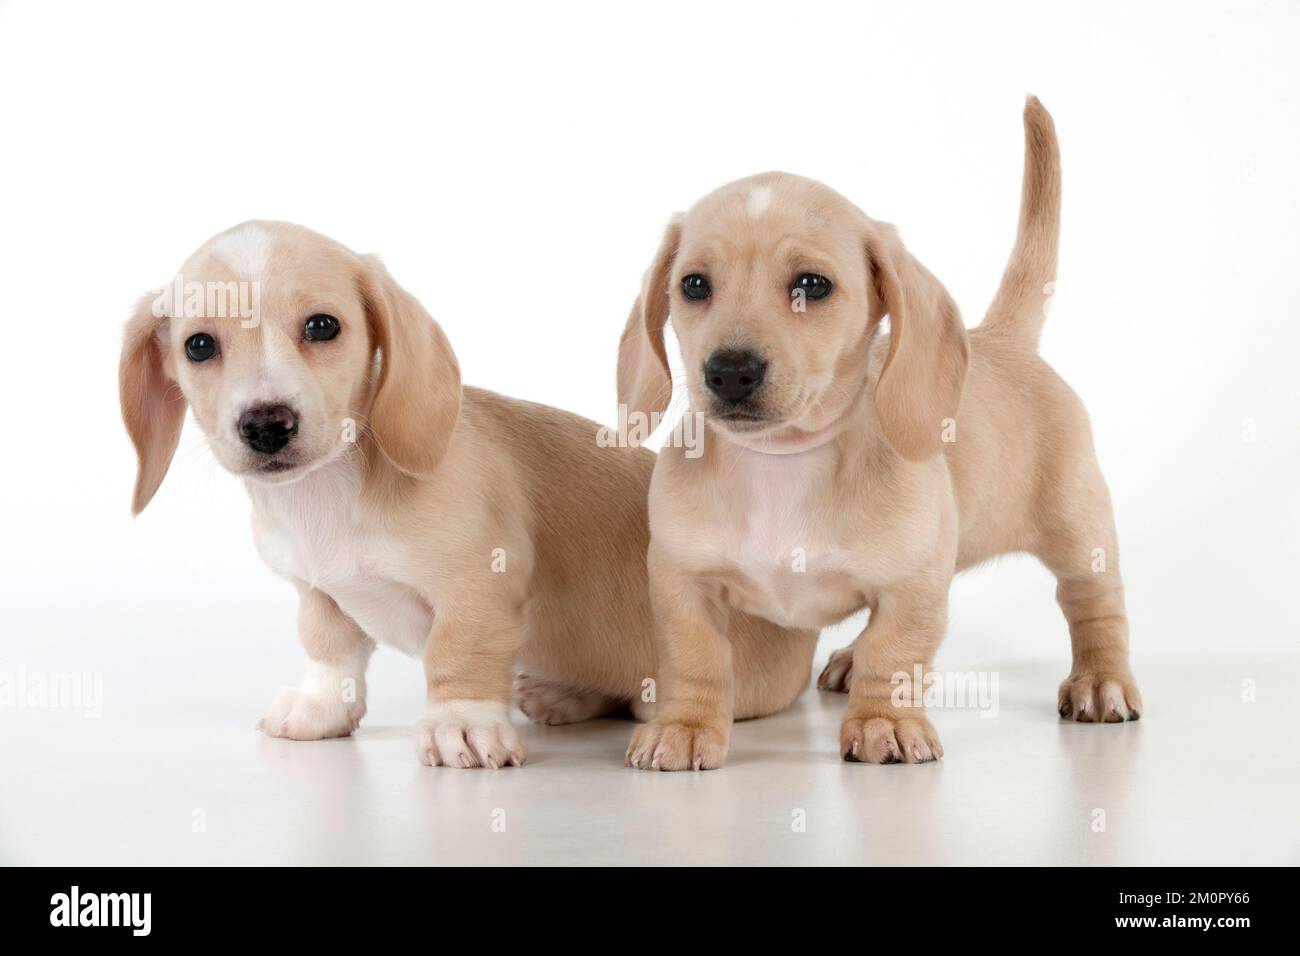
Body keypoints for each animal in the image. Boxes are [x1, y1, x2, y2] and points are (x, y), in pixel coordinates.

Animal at [122, 221, 811, 764]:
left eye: (322, 326)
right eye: (199, 345)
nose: (266, 424)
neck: (331, 493)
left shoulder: (478, 588)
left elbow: (459, 654)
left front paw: (461, 723)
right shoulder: (318, 593)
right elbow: (330, 655)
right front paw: (321, 710)